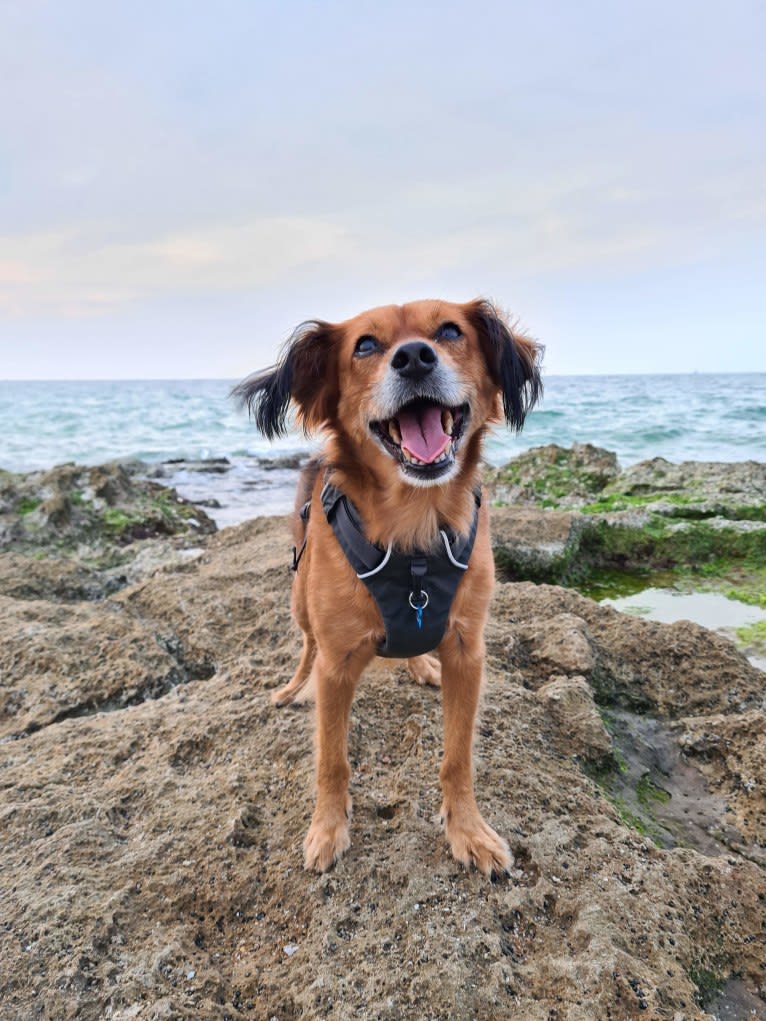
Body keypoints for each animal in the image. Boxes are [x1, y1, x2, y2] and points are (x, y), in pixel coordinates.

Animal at [236, 298, 543, 878]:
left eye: (450, 332)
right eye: (365, 345)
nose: (415, 358)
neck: (414, 532)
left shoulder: (467, 653)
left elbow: (457, 758)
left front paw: (468, 830)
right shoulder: (336, 667)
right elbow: (332, 761)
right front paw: (327, 830)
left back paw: (419, 663)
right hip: (299, 601)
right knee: (305, 646)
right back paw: (291, 688)